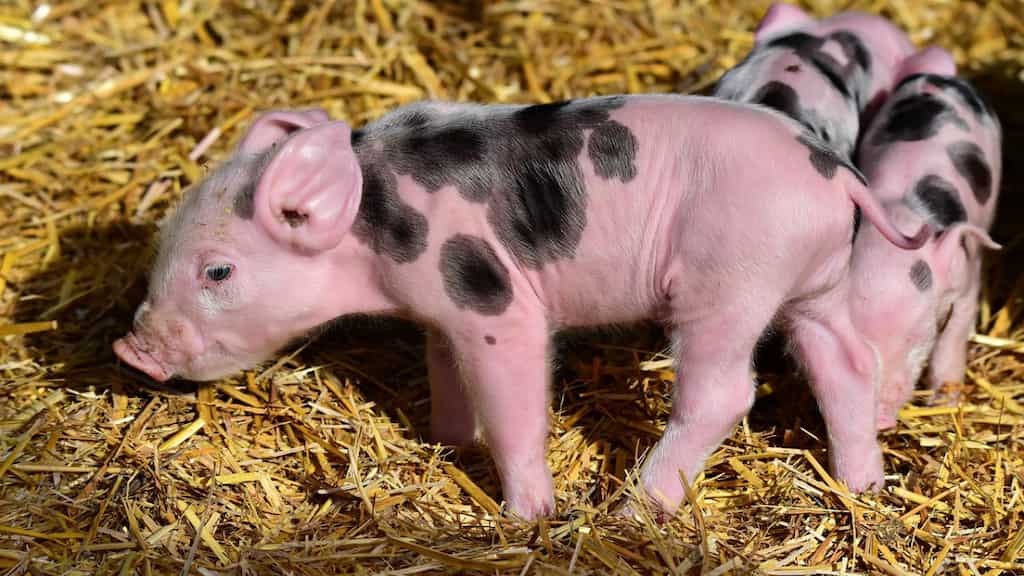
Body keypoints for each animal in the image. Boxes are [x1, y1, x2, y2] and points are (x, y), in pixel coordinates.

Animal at [113, 94, 927, 519]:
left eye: (218, 270)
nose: (132, 350)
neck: (375, 232)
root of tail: (838, 175)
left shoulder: (493, 301)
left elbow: (515, 403)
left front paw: (527, 515)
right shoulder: (440, 310)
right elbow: (445, 375)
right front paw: (447, 443)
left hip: (731, 282)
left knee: (724, 393)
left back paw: (633, 511)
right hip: (813, 284)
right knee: (849, 362)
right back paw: (865, 488)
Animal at [849, 47, 1002, 430]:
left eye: (917, 336)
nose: (880, 420)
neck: (903, 215)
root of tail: (938, 78)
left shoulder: (967, 277)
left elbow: (953, 339)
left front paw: (944, 400)